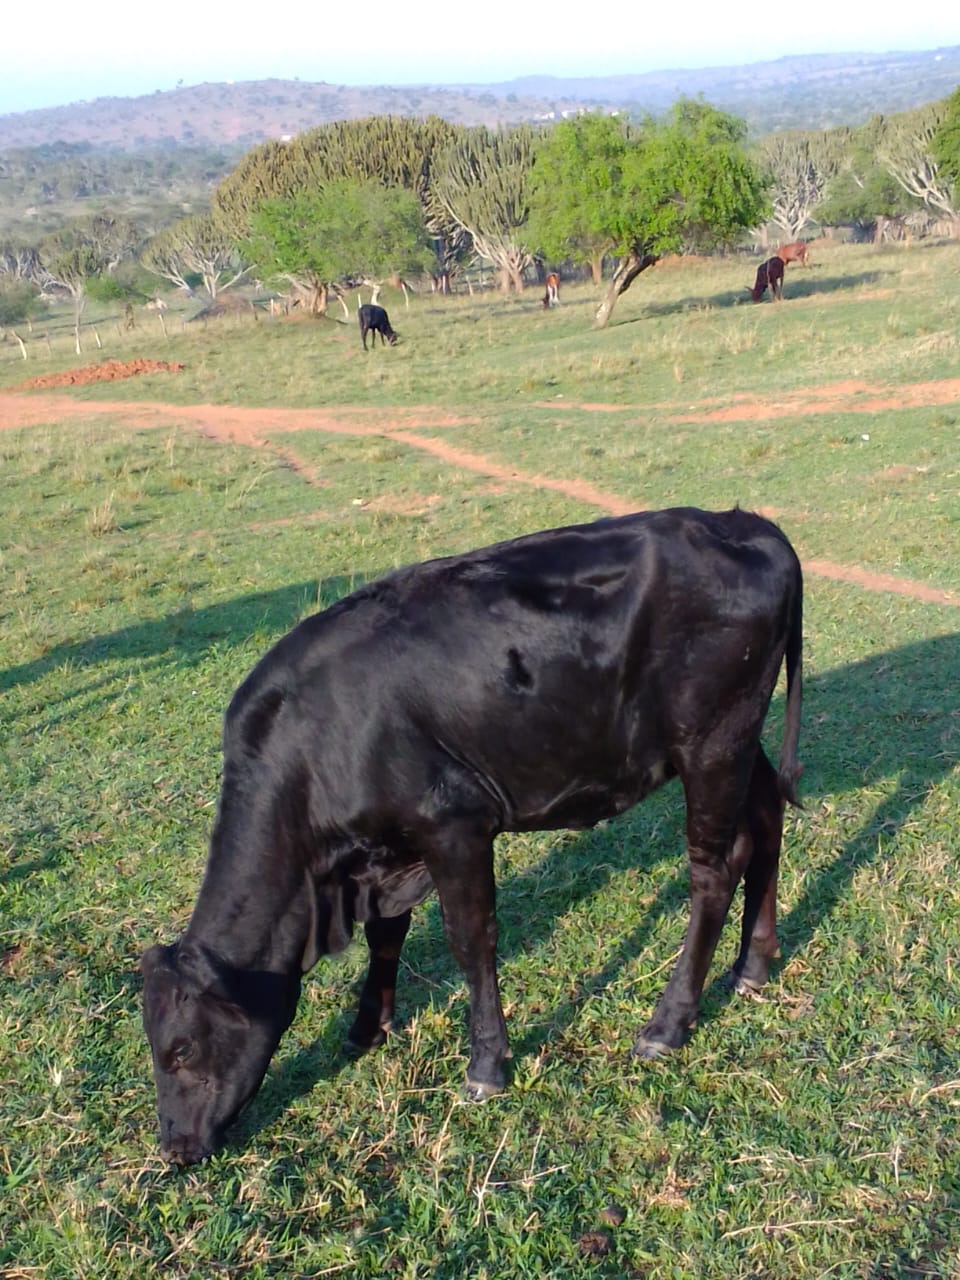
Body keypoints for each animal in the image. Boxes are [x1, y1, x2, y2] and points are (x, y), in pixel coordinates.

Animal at [141, 506, 803, 1166]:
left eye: (181, 1049)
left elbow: (471, 941)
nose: (175, 1148)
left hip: (712, 743)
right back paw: (752, 964)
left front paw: (485, 1065)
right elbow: (388, 936)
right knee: (767, 818)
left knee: (714, 871)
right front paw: (367, 1026)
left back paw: (667, 1025)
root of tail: (743, 522)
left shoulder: (454, 825)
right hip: (740, 741)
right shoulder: (388, 850)